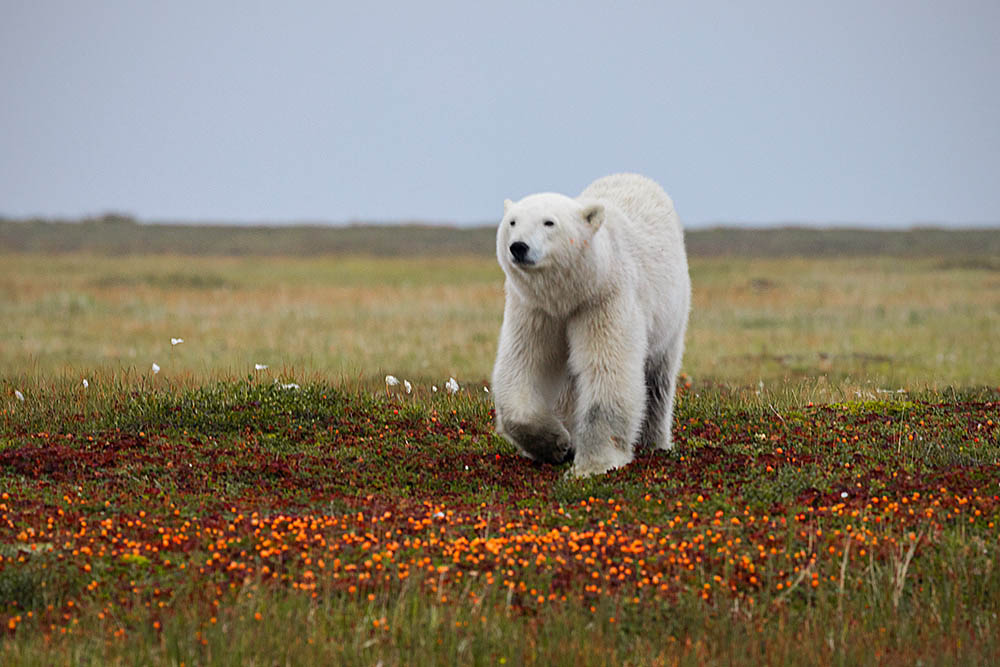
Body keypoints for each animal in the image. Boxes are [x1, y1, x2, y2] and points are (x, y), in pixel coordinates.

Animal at [490, 175, 688, 478]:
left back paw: (653, 441)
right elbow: (525, 363)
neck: (571, 294)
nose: (518, 247)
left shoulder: (604, 299)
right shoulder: (535, 309)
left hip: (671, 315)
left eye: (549, 222)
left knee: (657, 380)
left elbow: (607, 368)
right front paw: (556, 444)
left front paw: (594, 464)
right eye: (512, 221)